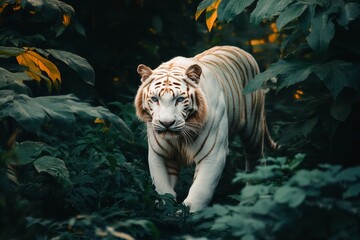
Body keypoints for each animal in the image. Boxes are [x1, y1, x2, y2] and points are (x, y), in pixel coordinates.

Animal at [134, 45, 278, 212]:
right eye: (155, 99)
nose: (166, 123)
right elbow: (163, 189)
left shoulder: (213, 154)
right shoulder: (160, 154)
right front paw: (167, 209)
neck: (180, 138)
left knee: (256, 160)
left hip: (253, 128)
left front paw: (190, 214)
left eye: (180, 99)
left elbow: (201, 191)